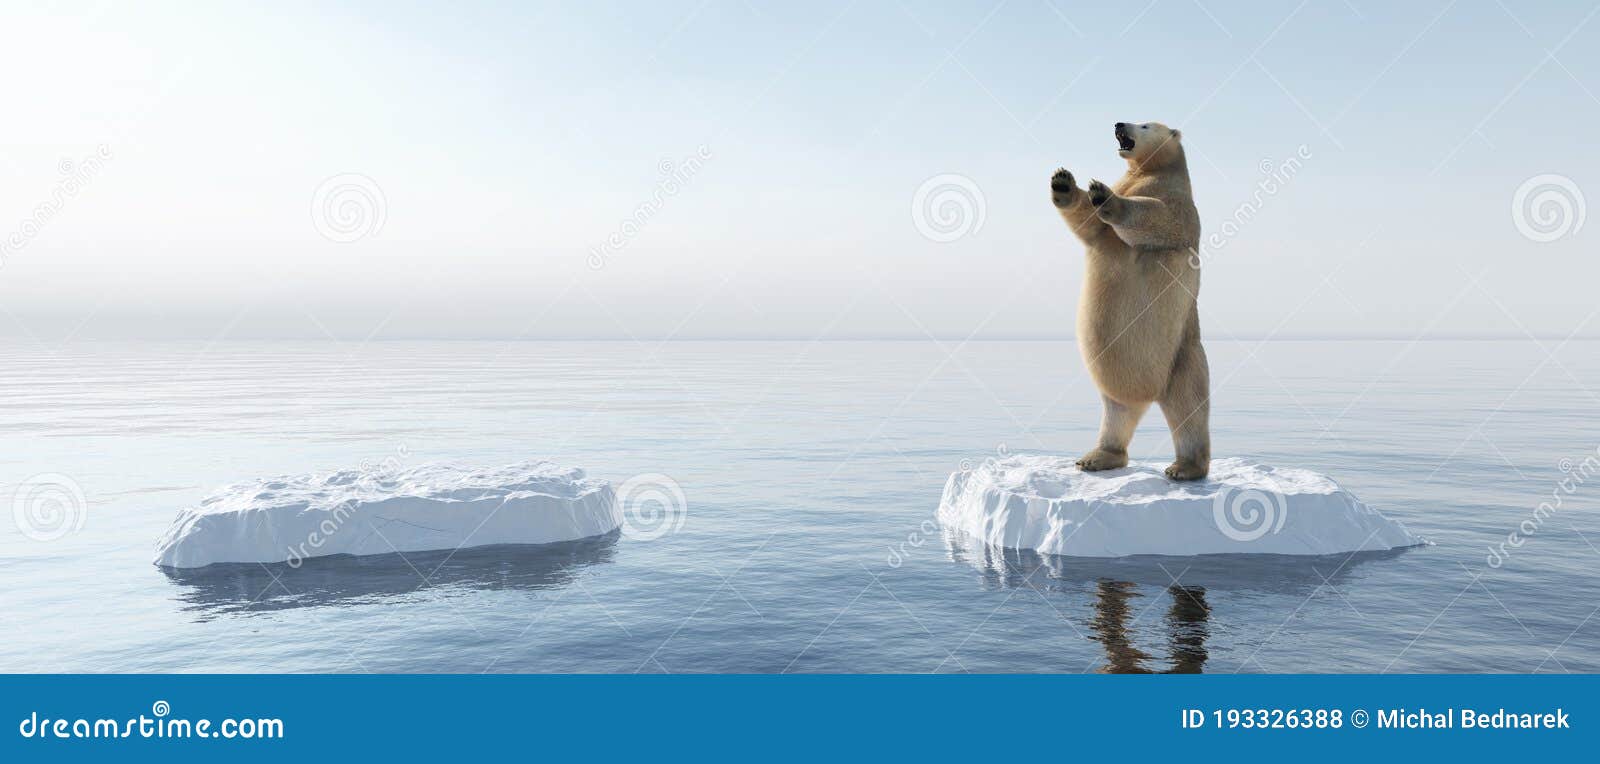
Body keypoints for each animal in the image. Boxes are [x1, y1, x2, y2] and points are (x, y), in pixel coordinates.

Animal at [1049, 119, 1209, 479]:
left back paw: (1185, 467)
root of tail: (1147, 394)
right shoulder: (1107, 226)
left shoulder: (1179, 205)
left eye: (1145, 124)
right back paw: (1096, 458)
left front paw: (1103, 193)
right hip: (1117, 386)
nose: (1119, 123)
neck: (1151, 171)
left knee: (1189, 409)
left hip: (1181, 359)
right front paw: (1063, 182)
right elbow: (1090, 225)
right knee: (1117, 413)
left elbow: (1157, 218)